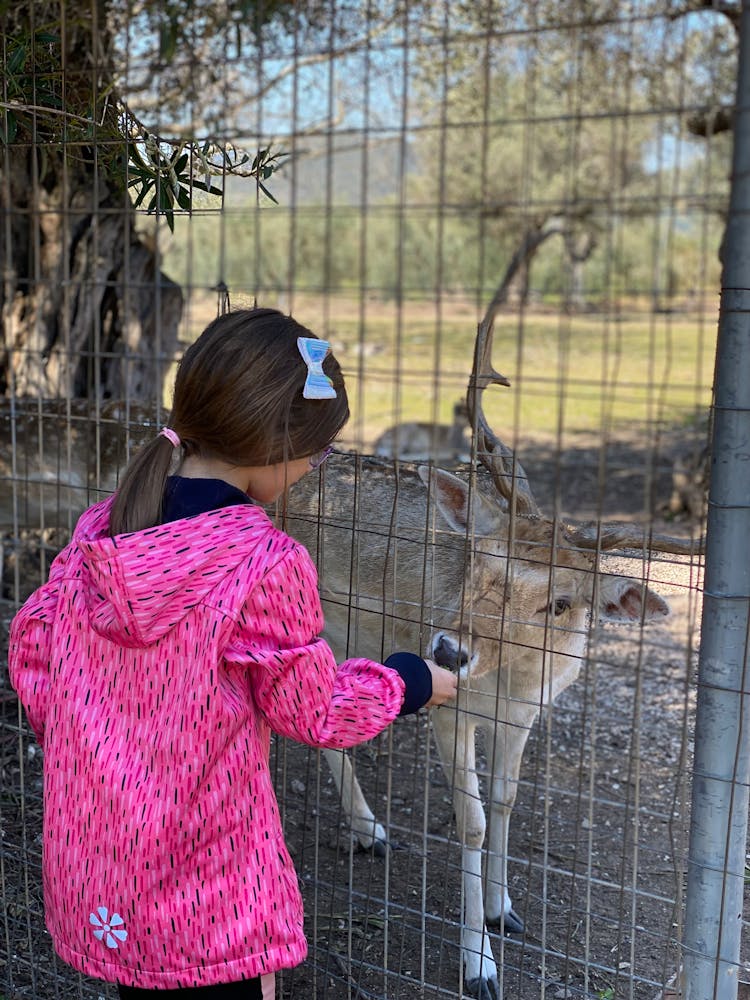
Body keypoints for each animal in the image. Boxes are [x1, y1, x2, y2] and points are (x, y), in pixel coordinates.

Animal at [284, 290, 704, 1000]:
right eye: (478, 558)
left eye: (561, 601)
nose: (449, 650)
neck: (511, 682)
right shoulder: (451, 711)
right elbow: (472, 819)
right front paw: (477, 963)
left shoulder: (527, 715)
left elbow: (507, 800)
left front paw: (504, 911)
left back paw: (369, 832)